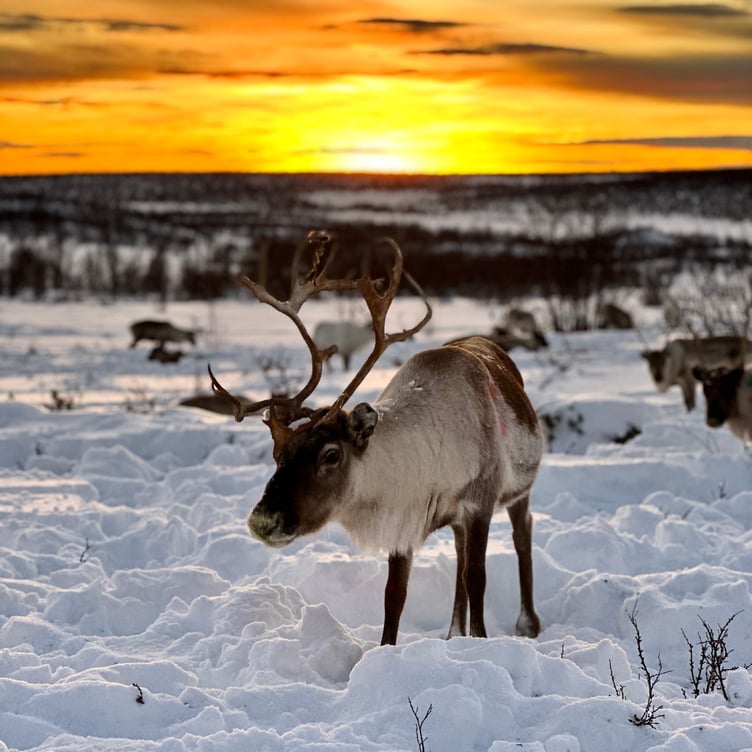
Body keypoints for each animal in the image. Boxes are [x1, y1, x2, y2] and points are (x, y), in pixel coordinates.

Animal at [209, 230, 544, 646]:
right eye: (278, 453)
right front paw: (388, 649)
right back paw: (453, 634)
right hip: (459, 521)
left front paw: (479, 641)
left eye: (331, 454)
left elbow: (477, 577)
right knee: (461, 550)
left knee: (522, 533)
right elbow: (394, 596)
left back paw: (527, 623)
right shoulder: (407, 520)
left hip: (518, 490)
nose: (263, 521)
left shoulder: (479, 502)